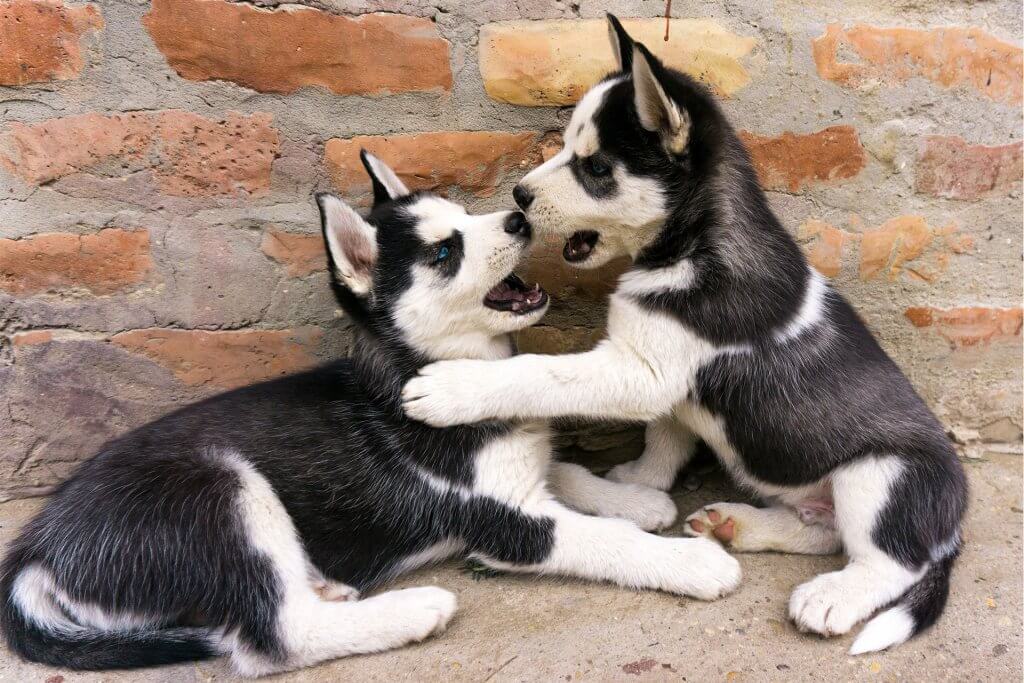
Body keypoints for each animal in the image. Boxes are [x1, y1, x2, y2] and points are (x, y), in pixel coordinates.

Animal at [0, 152, 737, 675]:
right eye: (444, 252)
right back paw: (413, 609)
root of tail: (35, 551)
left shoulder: (515, 473)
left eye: (464, 215)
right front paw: (692, 560)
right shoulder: (506, 522)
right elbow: (604, 540)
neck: (421, 367)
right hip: (222, 488)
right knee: (275, 638)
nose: (520, 217)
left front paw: (634, 497)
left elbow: (568, 472)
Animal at [401, 17, 966, 655]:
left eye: (597, 168)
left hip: (881, 476)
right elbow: (664, 438)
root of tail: (951, 529)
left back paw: (830, 598)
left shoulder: (643, 371)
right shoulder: (664, 381)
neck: (692, 245)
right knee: (827, 534)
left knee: (889, 561)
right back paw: (737, 525)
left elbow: (539, 373)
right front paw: (638, 485)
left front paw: (452, 388)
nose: (519, 198)